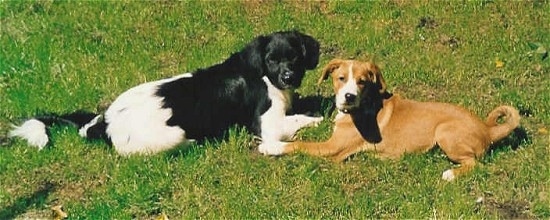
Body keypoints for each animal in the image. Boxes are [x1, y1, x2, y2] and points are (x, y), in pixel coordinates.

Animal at [8, 30, 324, 155]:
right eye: (272, 60)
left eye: (295, 58)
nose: (288, 76)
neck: (265, 77)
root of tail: (104, 122)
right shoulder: (268, 126)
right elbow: (298, 120)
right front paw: (318, 117)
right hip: (172, 137)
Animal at [264, 59, 520, 181]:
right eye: (341, 78)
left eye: (362, 81)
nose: (349, 97)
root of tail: (487, 129)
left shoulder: (332, 148)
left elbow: (299, 144)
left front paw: (270, 147)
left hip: (445, 132)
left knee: (475, 164)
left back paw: (450, 174)